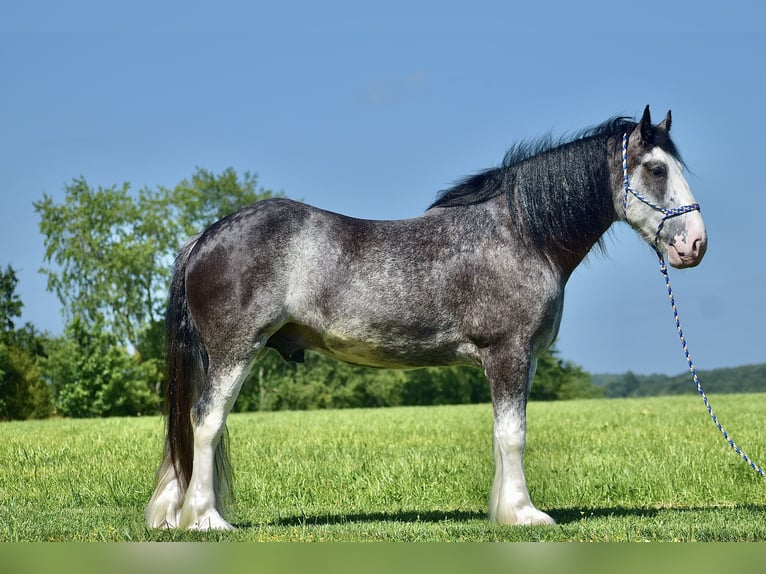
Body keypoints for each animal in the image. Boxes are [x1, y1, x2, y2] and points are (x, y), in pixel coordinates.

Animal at [147, 107, 712, 532]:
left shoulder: (521, 361)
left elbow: (502, 434)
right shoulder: (507, 353)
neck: (522, 233)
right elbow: (514, 435)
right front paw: (525, 515)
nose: (695, 245)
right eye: (656, 170)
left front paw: (504, 511)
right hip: (233, 352)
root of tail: (206, 237)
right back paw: (206, 519)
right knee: (207, 422)